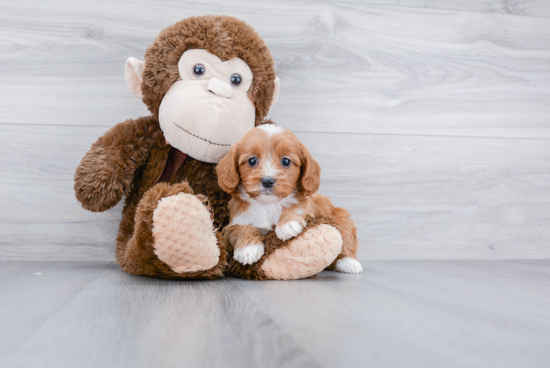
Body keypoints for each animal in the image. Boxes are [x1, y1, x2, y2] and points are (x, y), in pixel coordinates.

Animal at [218, 123, 364, 274]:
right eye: (252, 161)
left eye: (286, 161)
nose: (267, 181)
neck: (267, 204)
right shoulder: (232, 226)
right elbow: (242, 228)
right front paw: (248, 249)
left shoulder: (309, 210)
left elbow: (297, 209)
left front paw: (288, 223)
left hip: (342, 218)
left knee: (346, 240)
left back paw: (349, 262)